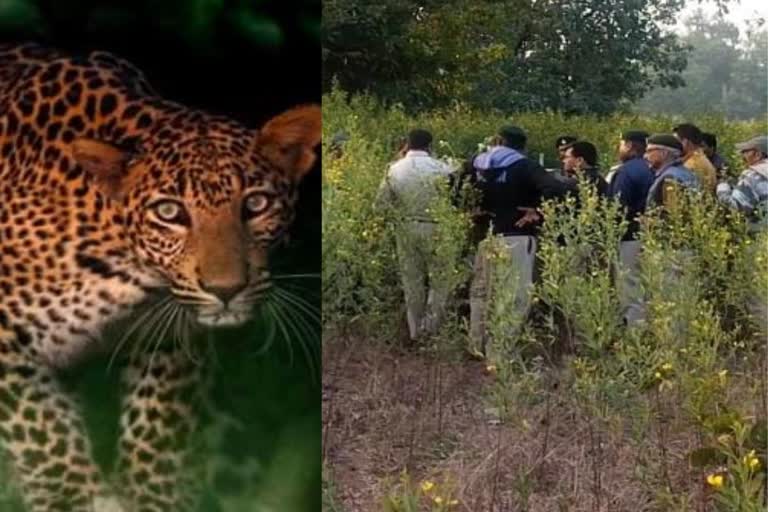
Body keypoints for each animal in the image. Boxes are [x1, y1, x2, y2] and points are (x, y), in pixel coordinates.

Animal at [0, 43, 320, 512]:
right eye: (169, 212)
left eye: (256, 204)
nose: (226, 290)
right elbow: (44, 435)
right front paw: (73, 498)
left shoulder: (171, 337)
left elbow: (159, 429)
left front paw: (150, 495)